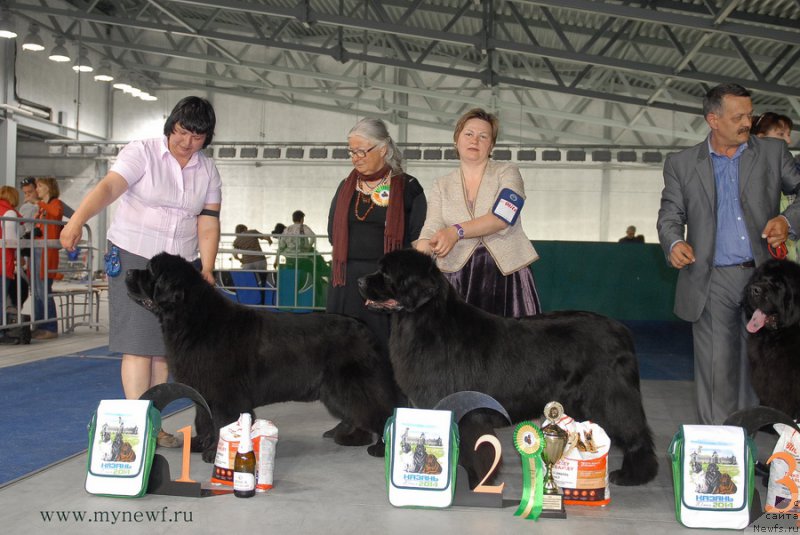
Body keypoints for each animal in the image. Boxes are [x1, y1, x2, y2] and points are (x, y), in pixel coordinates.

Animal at [126, 253, 404, 462]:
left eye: (150, 271)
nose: (127, 272)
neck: (192, 319)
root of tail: (364, 327)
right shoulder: (202, 389)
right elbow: (203, 418)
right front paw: (200, 444)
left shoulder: (225, 394)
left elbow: (221, 422)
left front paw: (215, 453)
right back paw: (351, 437)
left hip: (353, 384)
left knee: (378, 409)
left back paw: (381, 448)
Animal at [360, 249, 660, 488]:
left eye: (386, 274)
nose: (360, 280)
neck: (428, 322)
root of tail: (622, 331)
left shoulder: (469, 412)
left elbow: (476, 449)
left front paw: (477, 482)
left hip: (609, 399)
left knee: (635, 434)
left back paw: (634, 476)